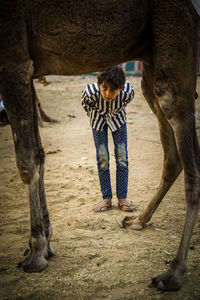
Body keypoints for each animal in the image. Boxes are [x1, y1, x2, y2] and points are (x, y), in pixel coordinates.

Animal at [0, 0, 199, 292]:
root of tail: (192, 11)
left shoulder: (12, 61)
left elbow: (26, 162)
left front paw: (35, 253)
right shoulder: (29, 68)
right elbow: (39, 155)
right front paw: (45, 245)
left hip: (174, 36)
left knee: (187, 150)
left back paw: (172, 273)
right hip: (151, 64)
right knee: (173, 156)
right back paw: (136, 221)